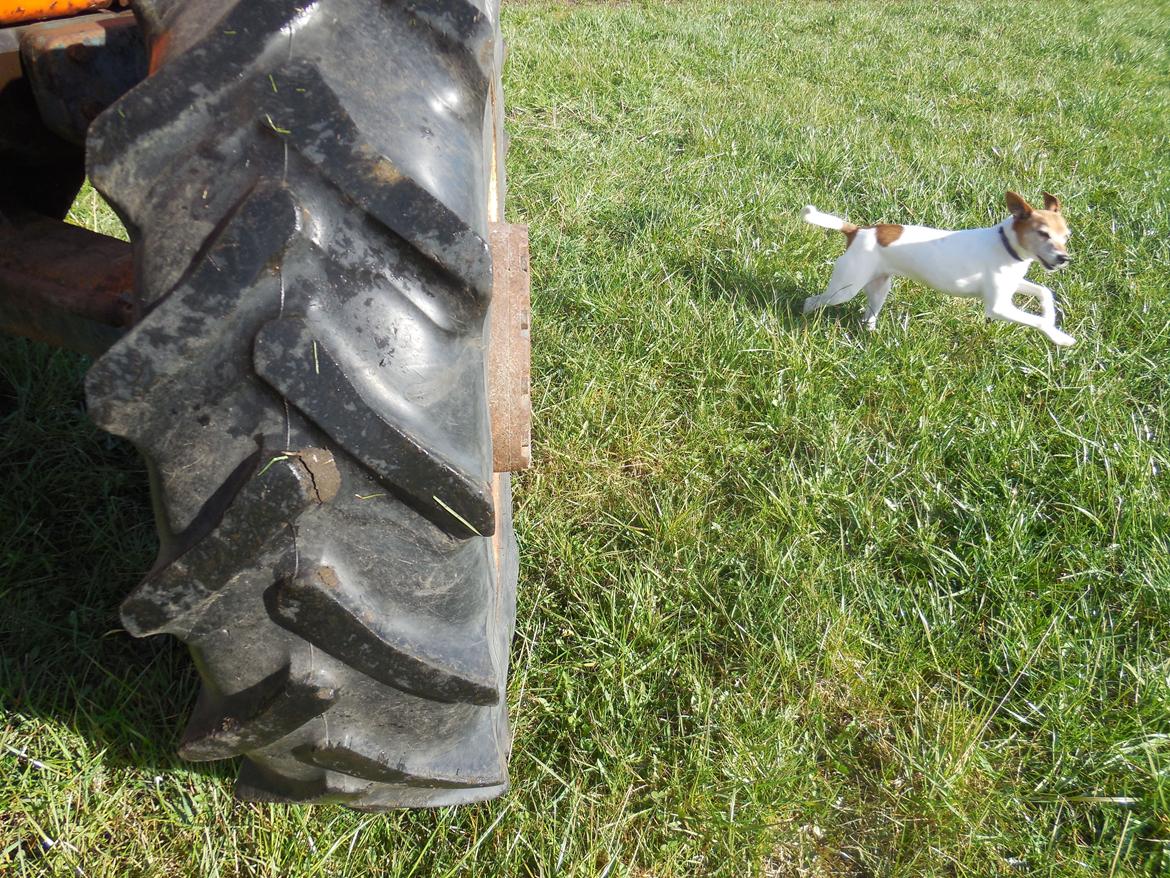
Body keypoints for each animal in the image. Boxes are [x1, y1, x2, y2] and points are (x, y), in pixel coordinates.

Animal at [800, 191, 1071, 346]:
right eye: (1043, 233)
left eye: (1067, 235)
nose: (1063, 258)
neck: (1005, 243)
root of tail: (857, 231)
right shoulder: (998, 308)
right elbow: (1036, 321)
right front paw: (1060, 337)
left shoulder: (1012, 286)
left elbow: (1045, 292)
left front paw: (1050, 316)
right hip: (844, 290)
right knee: (813, 300)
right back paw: (803, 317)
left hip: (879, 286)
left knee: (869, 315)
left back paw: (871, 334)